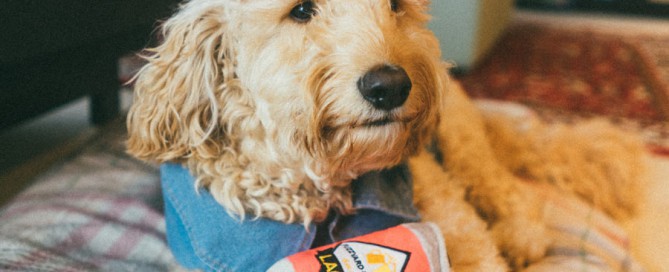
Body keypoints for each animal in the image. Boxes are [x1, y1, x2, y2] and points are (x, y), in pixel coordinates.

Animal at [128, 0, 644, 270]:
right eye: (301, 10)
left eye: (396, 5)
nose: (391, 85)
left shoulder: (447, 212)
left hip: (458, 140)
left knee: (508, 191)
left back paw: (523, 237)